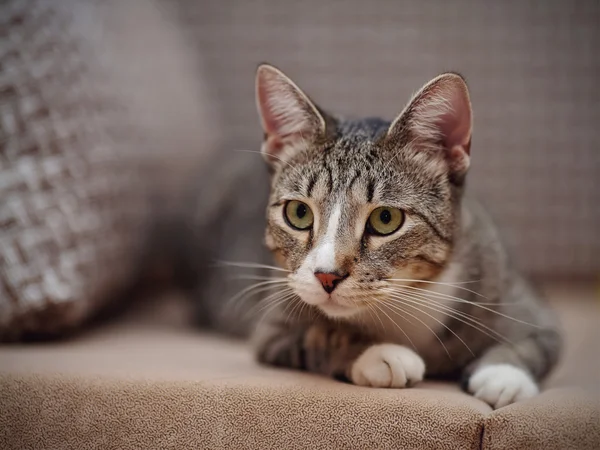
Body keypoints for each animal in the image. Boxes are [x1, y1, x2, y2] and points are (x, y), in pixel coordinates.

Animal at [240, 64, 564, 412]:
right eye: (299, 213)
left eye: (385, 219)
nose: (327, 276)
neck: (407, 296)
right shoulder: (272, 329)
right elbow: (319, 335)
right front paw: (378, 353)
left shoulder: (528, 306)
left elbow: (533, 341)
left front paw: (504, 374)